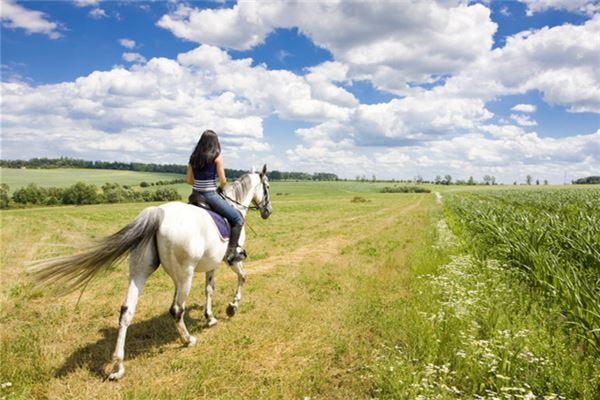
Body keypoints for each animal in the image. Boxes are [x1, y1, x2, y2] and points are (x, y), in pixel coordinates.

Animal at [27, 165, 272, 382]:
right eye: (267, 186)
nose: (267, 212)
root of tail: (159, 213)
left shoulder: (210, 264)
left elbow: (209, 289)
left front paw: (210, 317)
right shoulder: (229, 260)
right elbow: (242, 277)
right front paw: (231, 308)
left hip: (140, 271)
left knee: (126, 311)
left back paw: (118, 367)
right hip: (184, 275)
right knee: (176, 309)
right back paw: (187, 340)